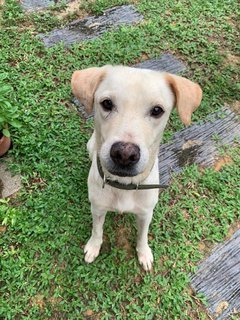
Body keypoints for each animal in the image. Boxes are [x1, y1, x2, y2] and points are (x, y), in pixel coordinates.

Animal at [71, 65, 202, 270]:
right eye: (107, 103)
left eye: (157, 110)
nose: (124, 154)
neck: (124, 185)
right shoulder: (98, 209)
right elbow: (97, 230)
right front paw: (93, 246)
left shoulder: (146, 213)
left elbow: (142, 235)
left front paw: (144, 253)